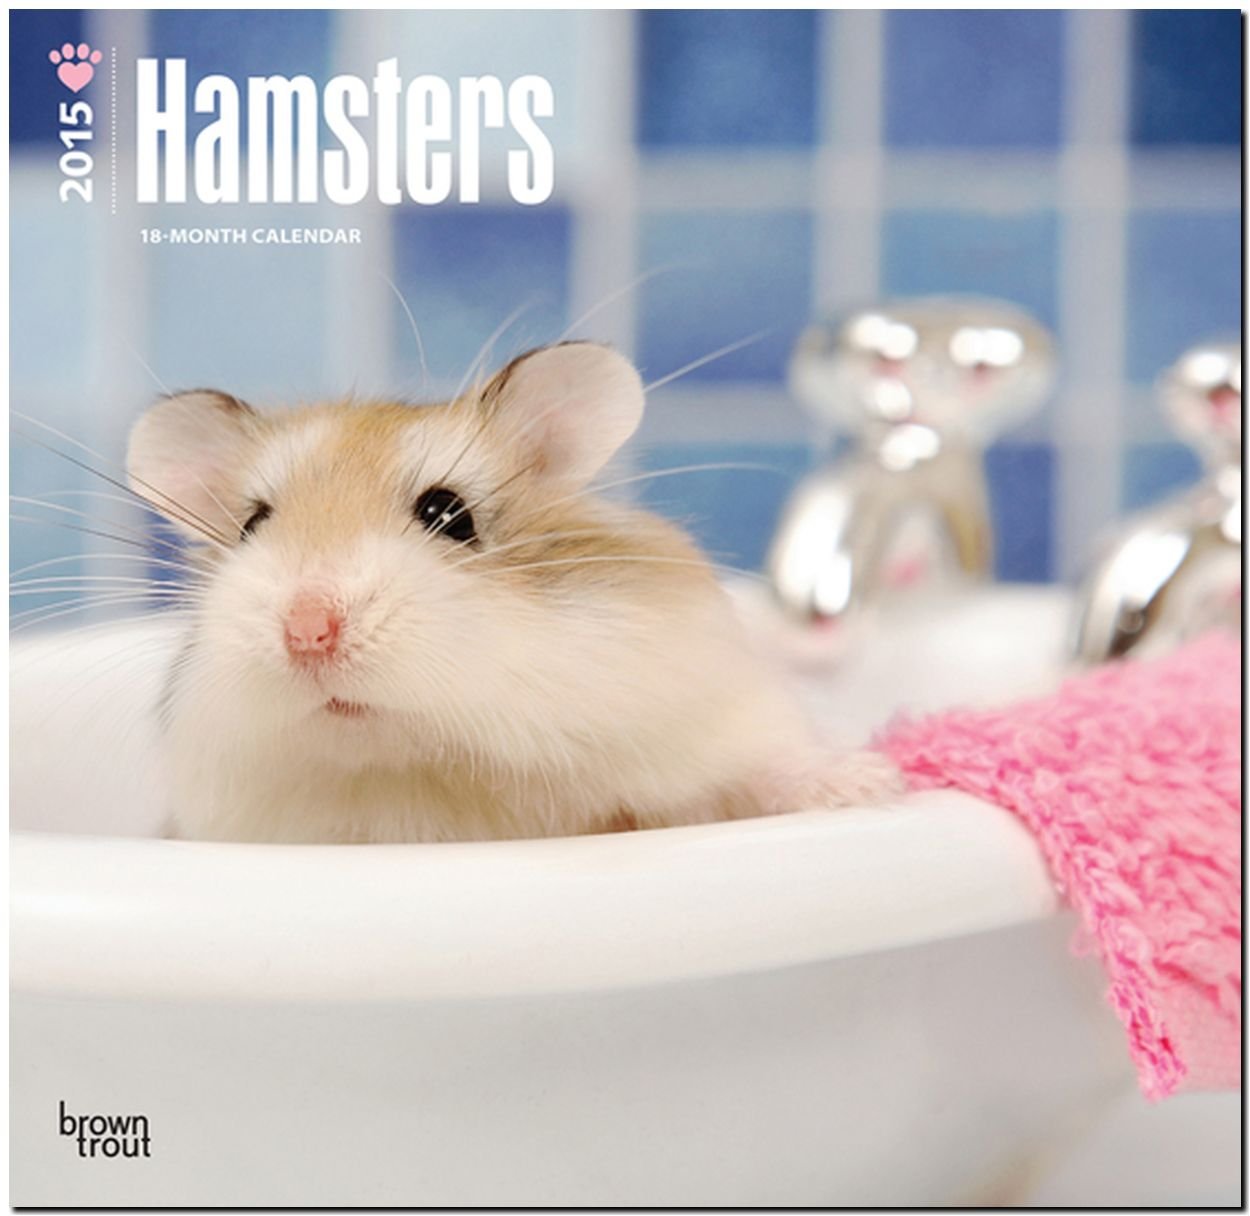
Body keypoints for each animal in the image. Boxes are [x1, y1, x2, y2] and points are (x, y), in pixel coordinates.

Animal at [126, 341, 901, 843]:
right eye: (252, 524)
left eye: (449, 515)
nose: (307, 630)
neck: (426, 760)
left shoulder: (716, 726)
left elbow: (766, 771)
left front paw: (875, 785)